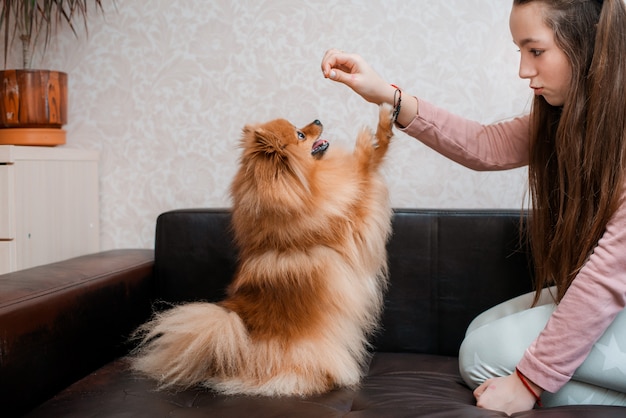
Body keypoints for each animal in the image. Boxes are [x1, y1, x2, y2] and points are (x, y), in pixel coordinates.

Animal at [131, 105, 392, 398]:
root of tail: (229, 359)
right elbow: (366, 166)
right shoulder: (352, 217)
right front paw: (380, 126)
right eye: (300, 134)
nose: (317, 119)